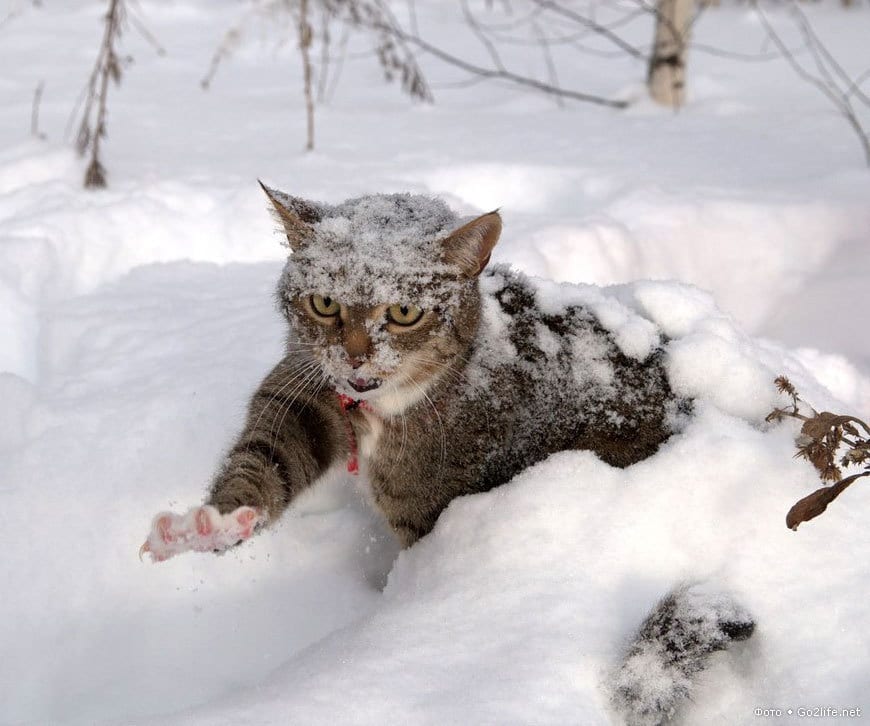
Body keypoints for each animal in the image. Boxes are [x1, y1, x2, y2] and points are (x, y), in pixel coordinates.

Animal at [143, 186, 756, 726]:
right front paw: (206, 525)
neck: (379, 409)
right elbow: (266, 460)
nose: (355, 357)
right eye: (324, 303)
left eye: (404, 312)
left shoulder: (429, 502)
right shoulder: (304, 395)